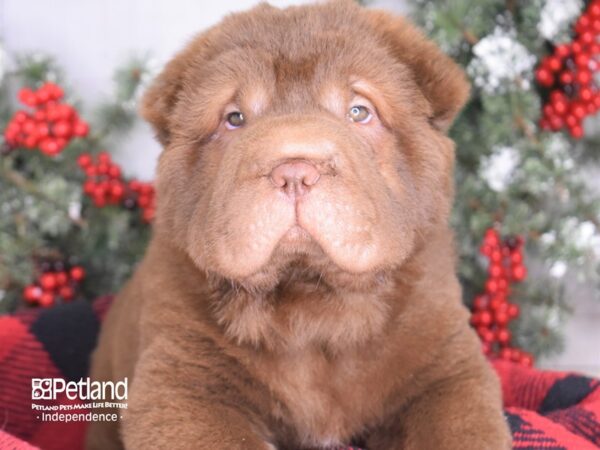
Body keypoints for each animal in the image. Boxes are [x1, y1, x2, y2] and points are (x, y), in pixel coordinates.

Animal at [85, 1, 510, 448]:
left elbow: (459, 430)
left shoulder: (445, 369)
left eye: (359, 112)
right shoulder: (186, 382)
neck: (312, 305)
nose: (294, 172)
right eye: (234, 118)